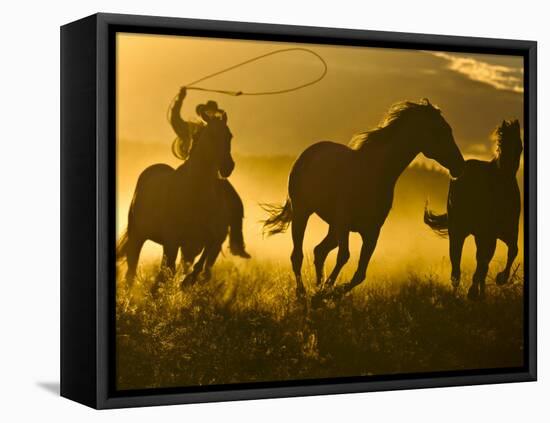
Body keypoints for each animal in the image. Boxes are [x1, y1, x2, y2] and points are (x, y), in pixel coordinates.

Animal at [117, 112, 234, 290]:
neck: (195, 194)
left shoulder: (203, 239)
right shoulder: (172, 240)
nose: (228, 166)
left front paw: (187, 282)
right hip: (138, 235)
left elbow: (199, 261)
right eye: (212, 135)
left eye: (229, 136)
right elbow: (168, 272)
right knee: (133, 268)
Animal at [264, 99, 466, 302]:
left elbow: (360, 273)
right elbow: (344, 257)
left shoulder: (372, 231)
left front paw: (328, 294)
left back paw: (317, 288)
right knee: (297, 255)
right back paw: (302, 293)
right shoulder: (344, 222)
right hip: (303, 212)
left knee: (319, 251)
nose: (459, 165)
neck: (374, 174)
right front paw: (325, 293)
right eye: (439, 130)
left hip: (332, 226)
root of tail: (308, 153)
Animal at [426, 118, 528, 298]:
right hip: (458, 231)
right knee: (456, 265)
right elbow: (482, 260)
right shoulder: (488, 233)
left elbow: (511, 251)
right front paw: (474, 291)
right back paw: (458, 293)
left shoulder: (505, 232)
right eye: (501, 144)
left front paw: (499, 279)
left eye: (519, 145)